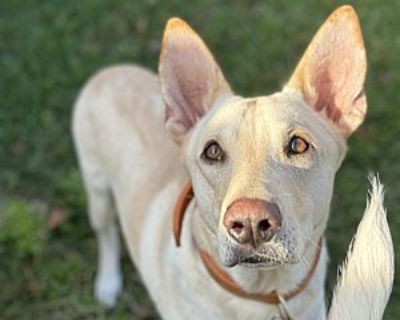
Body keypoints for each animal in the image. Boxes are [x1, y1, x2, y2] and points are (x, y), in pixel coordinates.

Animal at [72, 5, 394, 320]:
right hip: (97, 192)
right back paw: (108, 284)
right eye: (212, 151)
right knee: (106, 234)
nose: (250, 221)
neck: (265, 295)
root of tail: (110, 71)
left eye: (298, 145)